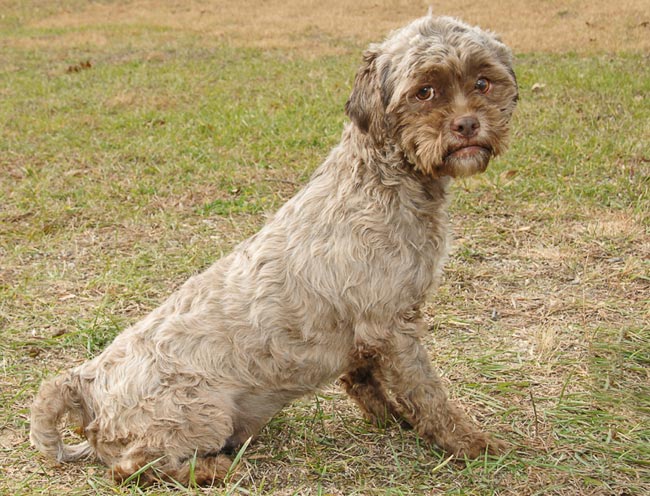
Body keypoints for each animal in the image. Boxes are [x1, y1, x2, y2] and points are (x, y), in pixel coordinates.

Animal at [30, 14, 518, 486]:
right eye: (424, 92)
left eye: (482, 82)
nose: (467, 125)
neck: (381, 179)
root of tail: (87, 382)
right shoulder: (392, 324)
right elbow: (427, 393)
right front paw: (469, 444)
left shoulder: (367, 332)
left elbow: (365, 380)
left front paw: (393, 419)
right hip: (199, 411)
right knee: (129, 468)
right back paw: (213, 469)